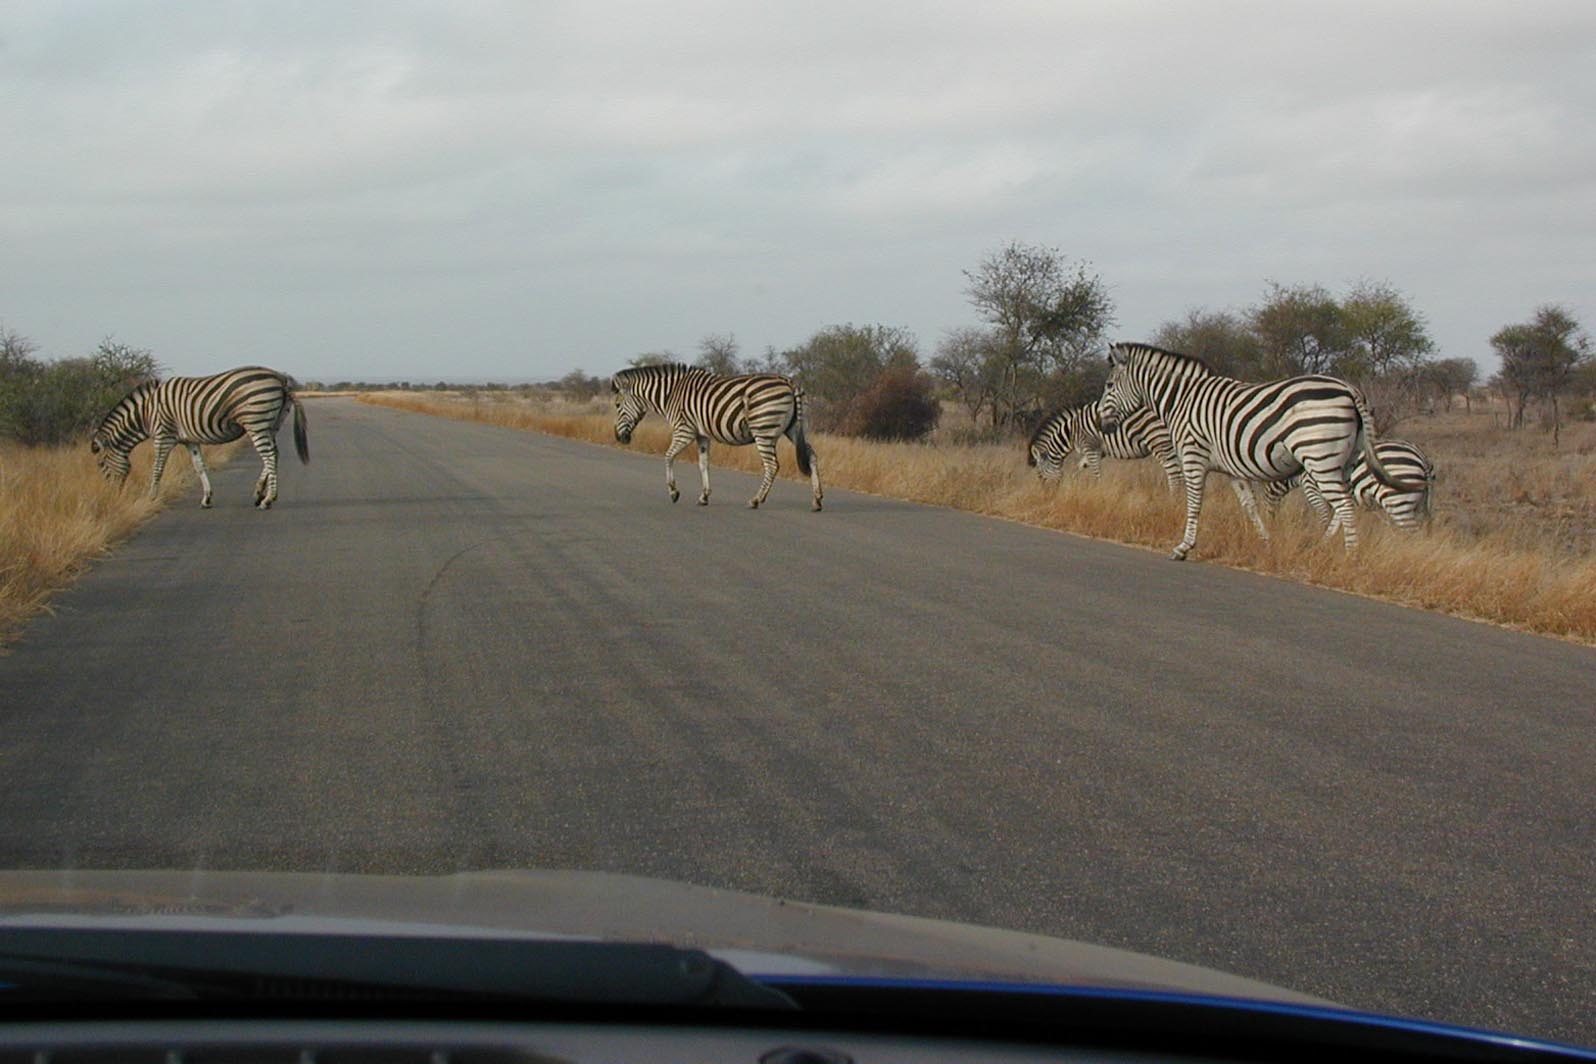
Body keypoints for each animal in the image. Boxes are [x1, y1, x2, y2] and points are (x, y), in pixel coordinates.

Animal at [91, 366, 309, 510]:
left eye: (101, 464)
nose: (111, 497)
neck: (145, 413)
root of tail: (281, 379)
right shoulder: (190, 440)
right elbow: (199, 466)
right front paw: (206, 499)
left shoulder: (163, 435)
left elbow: (158, 467)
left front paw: (151, 497)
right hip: (272, 424)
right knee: (275, 454)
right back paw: (258, 494)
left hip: (256, 421)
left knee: (269, 455)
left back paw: (268, 499)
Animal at [611, 363, 822, 511]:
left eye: (617, 406)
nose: (618, 437)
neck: (671, 394)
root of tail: (789, 382)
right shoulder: (702, 435)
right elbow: (703, 464)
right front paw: (704, 497)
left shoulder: (684, 430)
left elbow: (668, 456)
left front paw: (673, 492)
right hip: (793, 428)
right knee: (811, 455)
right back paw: (817, 500)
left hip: (763, 429)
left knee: (772, 465)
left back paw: (756, 500)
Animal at [1027, 401, 1182, 490]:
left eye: (1040, 474)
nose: (1047, 494)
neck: (1071, 431)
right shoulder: (1095, 452)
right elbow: (1078, 469)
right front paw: (1074, 487)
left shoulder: (1090, 448)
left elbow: (1096, 474)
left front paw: (1097, 493)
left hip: (1159, 441)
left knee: (1174, 473)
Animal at [1263, 439, 1435, 535]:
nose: (1272, 527)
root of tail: (1421, 457)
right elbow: (1336, 520)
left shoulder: (1311, 485)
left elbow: (1324, 515)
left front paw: (1316, 539)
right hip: (1419, 503)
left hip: (1397, 501)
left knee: (1411, 533)